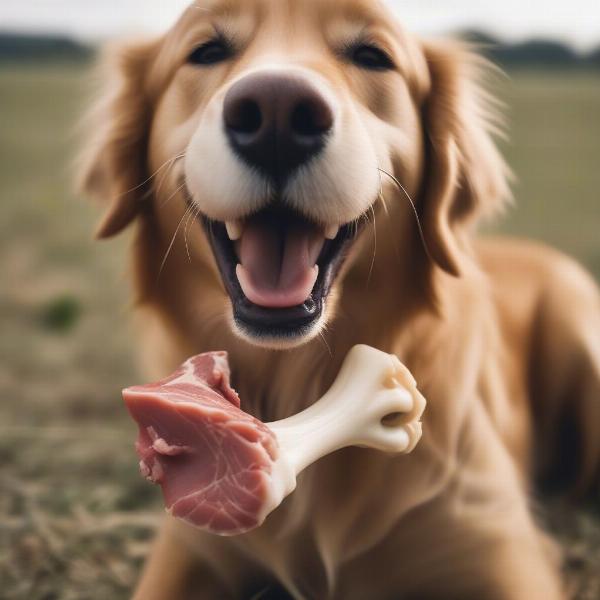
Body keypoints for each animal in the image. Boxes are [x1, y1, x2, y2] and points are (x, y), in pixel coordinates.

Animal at [78, 1, 600, 600]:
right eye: (206, 51)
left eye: (373, 56)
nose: (277, 113)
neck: (299, 384)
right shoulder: (189, 554)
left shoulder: (499, 552)